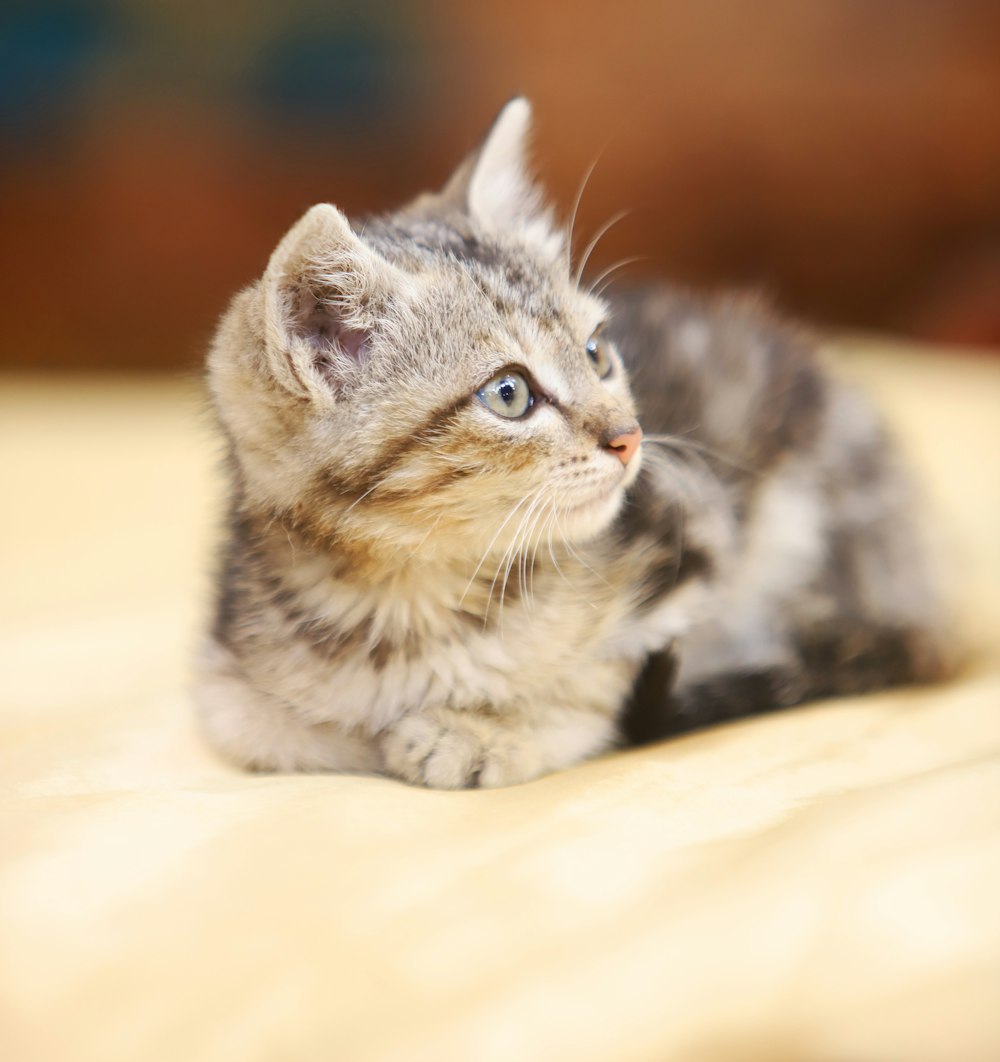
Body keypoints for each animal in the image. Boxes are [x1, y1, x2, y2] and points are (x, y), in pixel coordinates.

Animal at [194, 99, 946, 790]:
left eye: (597, 353)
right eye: (509, 395)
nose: (629, 438)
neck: (415, 598)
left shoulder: (698, 531)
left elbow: (606, 673)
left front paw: (491, 729)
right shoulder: (232, 682)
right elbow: (264, 724)